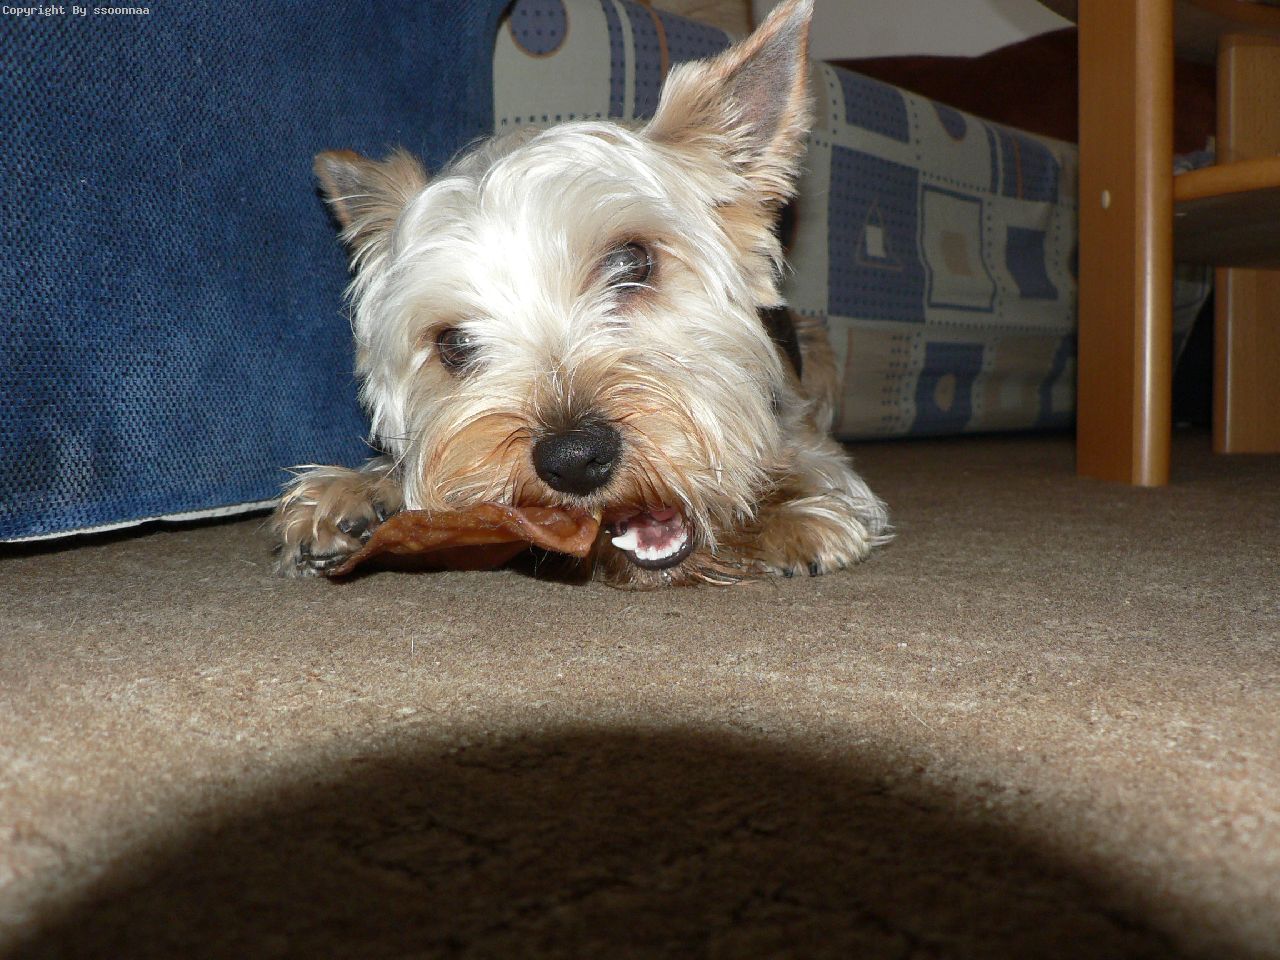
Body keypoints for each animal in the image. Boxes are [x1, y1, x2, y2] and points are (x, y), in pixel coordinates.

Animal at [273, 0, 889, 588]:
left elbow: (816, 468)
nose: (572, 460)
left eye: (632, 261)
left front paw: (795, 512)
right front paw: (360, 490)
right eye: (454, 344)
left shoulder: (809, 435)